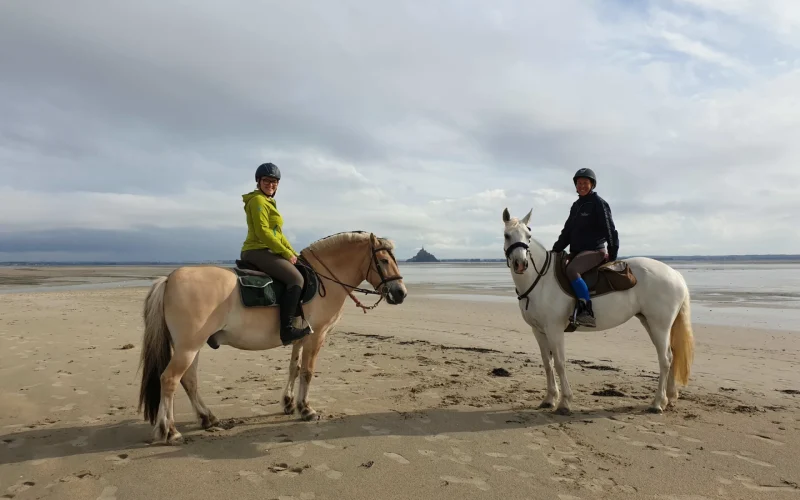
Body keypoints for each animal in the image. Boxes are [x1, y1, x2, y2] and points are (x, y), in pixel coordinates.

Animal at [137, 231, 407, 444]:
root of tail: (169, 278)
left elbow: (294, 368)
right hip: (188, 348)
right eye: (384, 260)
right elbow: (307, 372)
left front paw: (289, 403)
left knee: (189, 381)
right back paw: (169, 430)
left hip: (192, 347)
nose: (401, 293)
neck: (323, 279)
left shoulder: (300, 338)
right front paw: (306, 409)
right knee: (169, 380)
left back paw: (207, 418)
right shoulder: (317, 336)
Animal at [501, 208, 694, 415]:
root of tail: (674, 274)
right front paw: (550, 399)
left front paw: (565, 402)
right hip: (650, 323)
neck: (541, 280)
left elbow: (560, 363)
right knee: (672, 356)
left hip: (660, 325)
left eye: (528, 236)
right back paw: (669, 398)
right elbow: (547, 363)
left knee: (665, 359)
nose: (521, 263)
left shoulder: (554, 330)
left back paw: (657, 403)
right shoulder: (538, 331)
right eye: (507, 235)